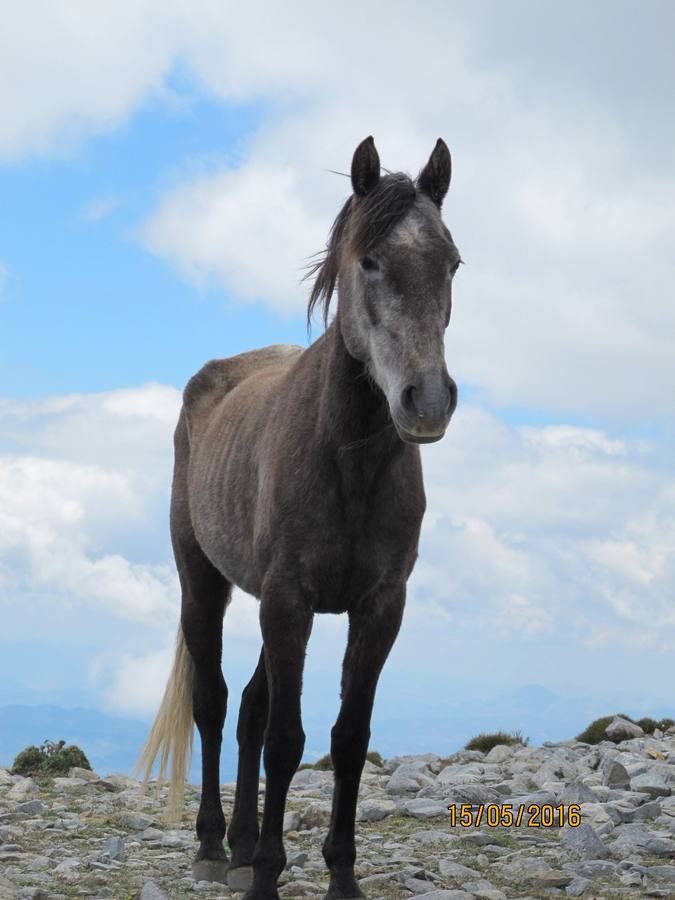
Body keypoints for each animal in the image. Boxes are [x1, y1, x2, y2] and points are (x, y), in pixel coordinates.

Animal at [140, 135, 462, 900]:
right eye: (368, 261)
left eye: (452, 263)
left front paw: (338, 875)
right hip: (204, 585)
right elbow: (286, 739)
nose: (427, 400)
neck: (347, 462)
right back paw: (214, 846)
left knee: (251, 711)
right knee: (217, 704)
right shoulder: (288, 604)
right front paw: (265, 875)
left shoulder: (376, 608)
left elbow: (346, 737)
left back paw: (241, 842)